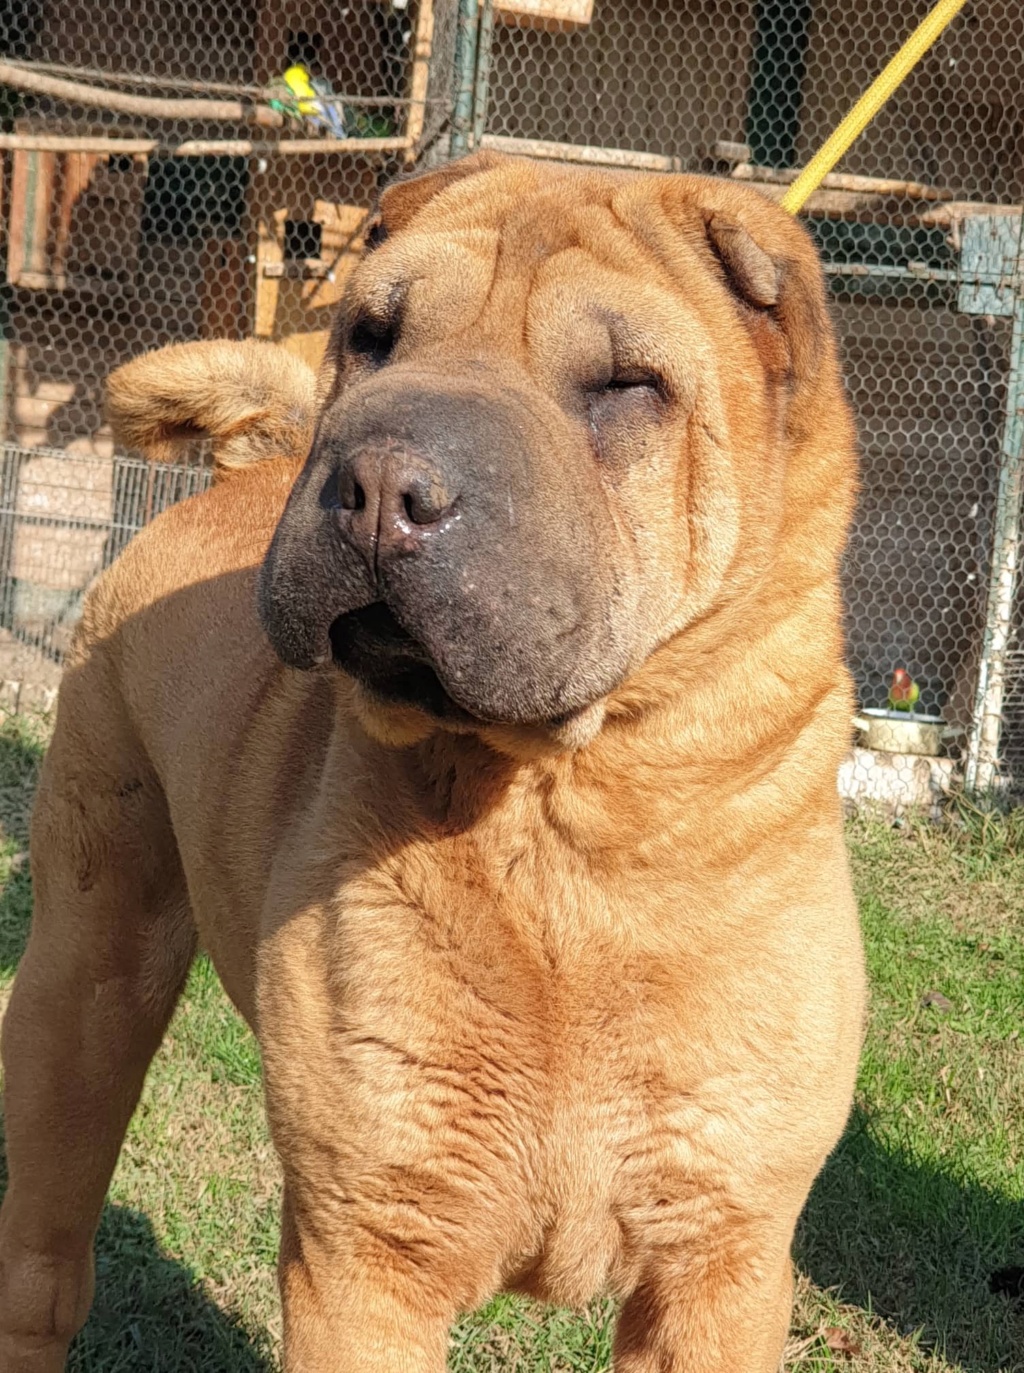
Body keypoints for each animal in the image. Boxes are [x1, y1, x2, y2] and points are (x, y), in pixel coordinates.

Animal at [0, 153, 862, 1373]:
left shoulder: (718, 1266)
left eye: (628, 385)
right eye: (373, 335)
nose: (375, 481)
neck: (564, 828)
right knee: (44, 1248)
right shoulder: (367, 1256)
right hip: (86, 978)